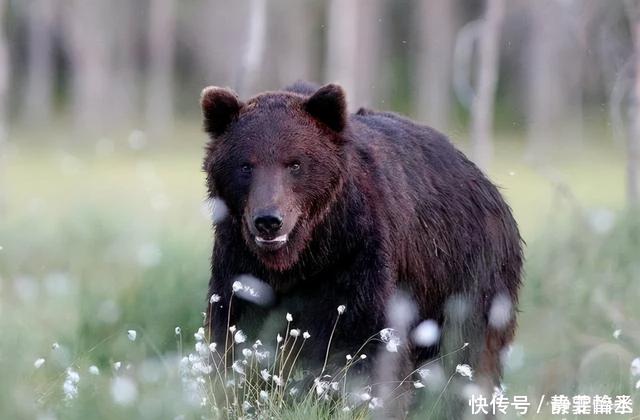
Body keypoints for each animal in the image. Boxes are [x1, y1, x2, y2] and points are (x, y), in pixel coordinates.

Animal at [200, 80, 520, 416]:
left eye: (295, 163)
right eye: (245, 165)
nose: (268, 220)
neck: (304, 257)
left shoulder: (355, 257)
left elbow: (364, 343)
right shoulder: (241, 263)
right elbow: (238, 333)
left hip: (464, 279)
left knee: (466, 355)